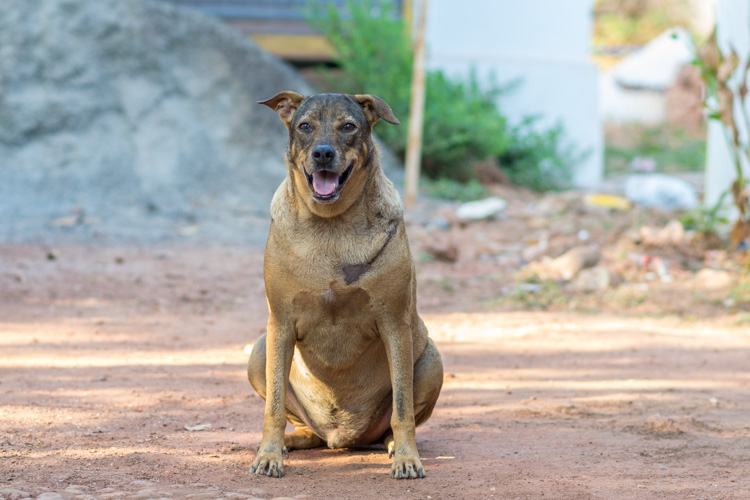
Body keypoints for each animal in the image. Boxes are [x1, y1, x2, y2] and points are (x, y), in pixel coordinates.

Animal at [250, 92, 444, 478]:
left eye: (349, 126)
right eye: (305, 125)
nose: (323, 153)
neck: (331, 226)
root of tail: (340, 437)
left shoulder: (394, 323)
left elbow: (402, 408)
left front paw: (407, 458)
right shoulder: (280, 324)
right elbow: (274, 408)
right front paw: (269, 455)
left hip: (432, 360)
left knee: (395, 420)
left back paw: (391, 445)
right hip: (259, 351)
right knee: (303, 427)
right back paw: (291, 441)